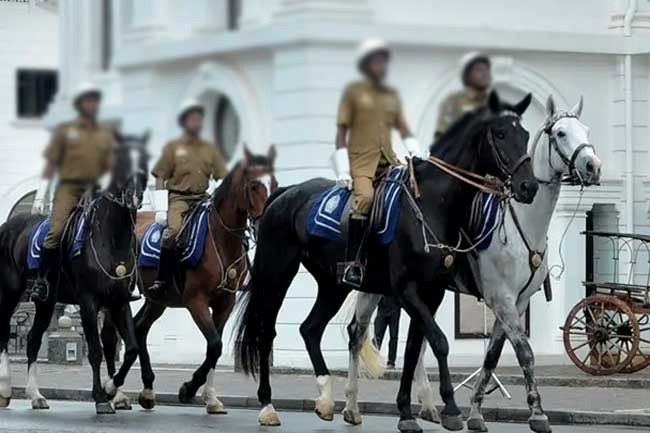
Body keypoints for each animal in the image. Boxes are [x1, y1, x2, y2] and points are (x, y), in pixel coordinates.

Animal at [0, 131, 149, 412]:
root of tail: (8, 225)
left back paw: (36, 395)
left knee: (33, 340)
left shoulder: (119, 302)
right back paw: (5, 390)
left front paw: (113, 390)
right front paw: (101, 396)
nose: (133, 197)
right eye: (122, 159)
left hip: (45, 302)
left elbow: (131, 348)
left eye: (146, 159)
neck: (111, 238)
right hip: (10, 292)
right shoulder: (89, 302)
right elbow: (96, 350)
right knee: (3, 333)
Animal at [100, 147, 276, 414]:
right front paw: (189, 389)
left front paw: (211, 398)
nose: (264, 223)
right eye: (254, 185)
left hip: (157, 300)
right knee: (111, 338)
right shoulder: (196, 301)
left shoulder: (226, 302)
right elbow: (214, 345)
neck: (221, 239)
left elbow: (214, 349)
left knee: (139, 329)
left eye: (274, 183)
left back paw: (147, 391)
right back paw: (116, 393)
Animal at [237, 89, 536, 430]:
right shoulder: (406, 290)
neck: (430, 203)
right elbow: (439, 342)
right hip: (276, 273)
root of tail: (286, 192)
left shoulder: (430, 293)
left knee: (310, 329)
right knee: (266, 331)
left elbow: (414, 348)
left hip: (333, 284)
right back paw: (267, 405)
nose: (529, 186)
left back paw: (325, 399)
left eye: (526, 134)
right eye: (500, 133)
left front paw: (407, 411)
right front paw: (448, 408)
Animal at [344, 95, 604, 432]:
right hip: (378, 287)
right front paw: (537, 413)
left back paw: (424, 405)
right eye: (560, 133)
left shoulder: (517, 302)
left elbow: (492, 356)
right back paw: (354, 406)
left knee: (411, 341)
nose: (593, 166)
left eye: (586, 130)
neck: (523, 224)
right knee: (359, 332)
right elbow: (525, 352)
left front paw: (476, 412)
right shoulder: (501, 298)